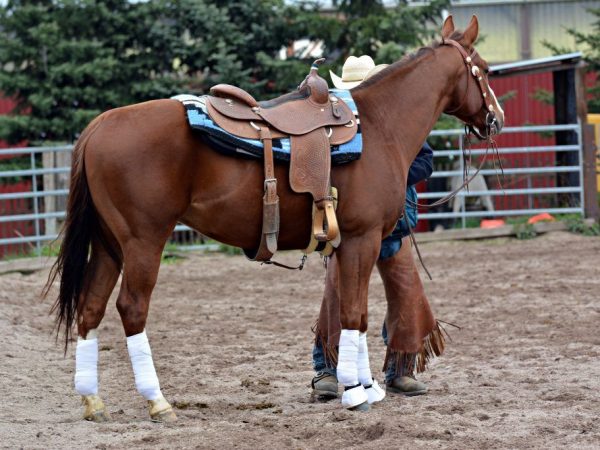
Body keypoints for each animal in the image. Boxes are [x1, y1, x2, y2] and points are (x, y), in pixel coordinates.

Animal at [47, 14, 504, 422]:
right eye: (484, 69)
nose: (495, 119)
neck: (378, 127)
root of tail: (100, 125)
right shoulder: (364, 238)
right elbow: (354, 314)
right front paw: (356, 393)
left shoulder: (348, 245)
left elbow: (352, 314)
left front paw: (365, 386)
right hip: (143, 241)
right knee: (132, 308)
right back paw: (158, 402)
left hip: (108, 244)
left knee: (91, 307)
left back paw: (93, 402)